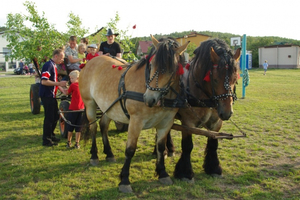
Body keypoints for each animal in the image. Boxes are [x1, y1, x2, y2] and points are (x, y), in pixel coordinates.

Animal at [78, 35, 189, 193]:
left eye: (172, 68)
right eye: (152, 64)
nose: (149, 99)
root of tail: (90, 62)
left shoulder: (166, 122)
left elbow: (161, 148)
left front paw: (162, 173)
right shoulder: (135, 121)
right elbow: (130, 149)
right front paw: (124, 180)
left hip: (107, 107)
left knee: (103, 126)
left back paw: (109, 153)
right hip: (90, 104)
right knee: (93, 128)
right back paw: (94, 156)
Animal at [171, 38, 241, 182]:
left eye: (235, 80)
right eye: (215, 80)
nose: (227, 112)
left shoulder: (217, 122)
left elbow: (214, 143)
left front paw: (213, 168)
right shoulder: (188, 123)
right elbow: (187, 146)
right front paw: (185, 173)